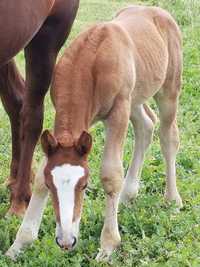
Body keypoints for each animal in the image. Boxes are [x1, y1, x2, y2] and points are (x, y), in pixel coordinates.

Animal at [7, 5, 183, 262]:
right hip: (135, 97)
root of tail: (157, 11)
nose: (66, 241)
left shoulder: (118, 111)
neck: (90, 62)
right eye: (51, 186)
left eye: (84, 186)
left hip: (167, 90)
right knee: (146, 125)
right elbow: (39, 174)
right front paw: (18, 245)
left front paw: (108, 245)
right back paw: (127, 195)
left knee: (168, 136)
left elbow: (111, 174)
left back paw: (172, 199)